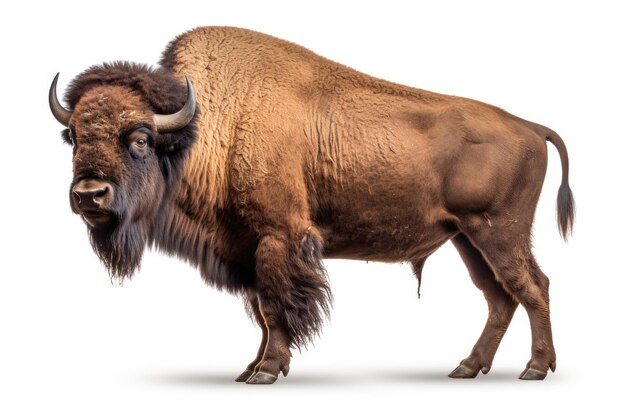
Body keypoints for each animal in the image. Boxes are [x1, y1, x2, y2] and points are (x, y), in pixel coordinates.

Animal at [51, 26, 572, 384]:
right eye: (72, 136)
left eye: (140, 138)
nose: (88, 195)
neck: (209, 127)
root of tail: (530, 127)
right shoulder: (246, 247)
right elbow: (263, 309)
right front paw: (250, 367)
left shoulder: (278, 236)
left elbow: (277, 305)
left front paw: (267, 371)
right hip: (467, 238)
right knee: (500, 297)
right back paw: (468, 366)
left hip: (498, 232)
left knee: (533, 287)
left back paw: (534, 368)